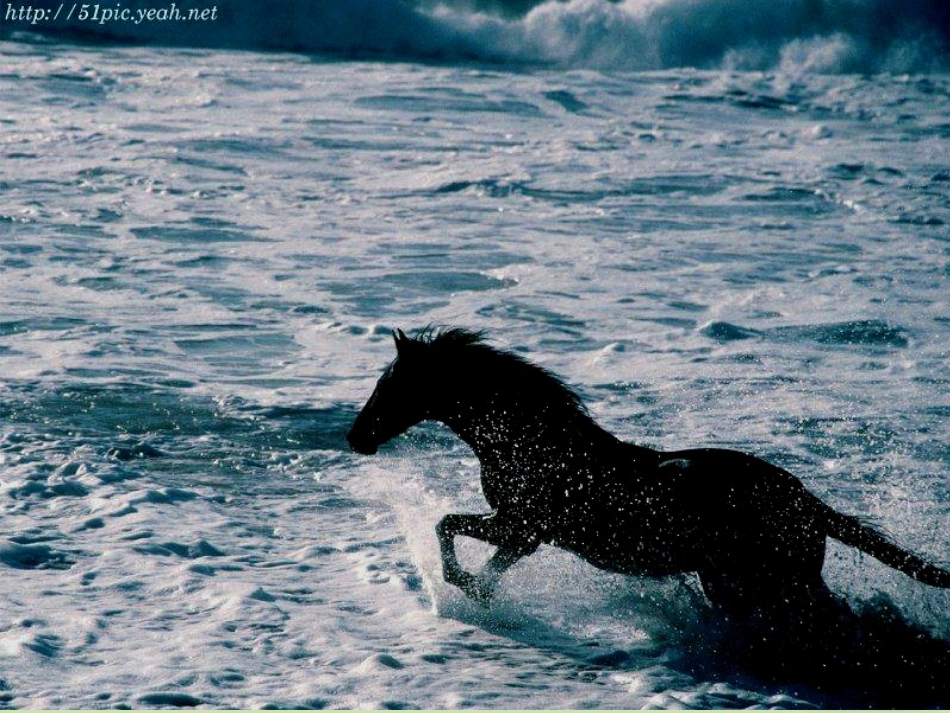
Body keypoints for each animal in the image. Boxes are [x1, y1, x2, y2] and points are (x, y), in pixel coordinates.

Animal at [346, 327, 950, 624]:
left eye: (391, 385)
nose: (355, 437)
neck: (527, 442)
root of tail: (808, 502)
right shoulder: (525, 534)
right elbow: (474, 547)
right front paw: (480, 591)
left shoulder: (522, 525)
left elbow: (446, 525)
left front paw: (463, 586)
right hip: (745, 583)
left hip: (772, 582)